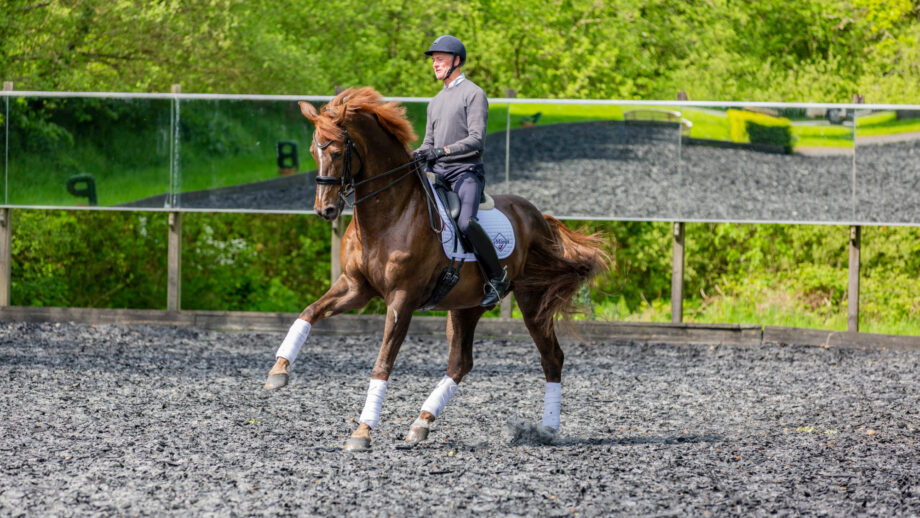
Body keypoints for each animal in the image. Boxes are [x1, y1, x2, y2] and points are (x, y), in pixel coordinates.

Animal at [263, 87, 609, 451]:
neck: (391, 214)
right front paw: (278, 371)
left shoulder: (401, 299)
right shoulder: (355, 287)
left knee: (551, 357)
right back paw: (421, 422)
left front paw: (362, 431)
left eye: (338, 149)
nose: (325, 209)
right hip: (466, 307)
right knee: (461, 363)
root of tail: (539, 217)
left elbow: (382, 363)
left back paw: (548, 429)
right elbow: (309, 312)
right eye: (313, 151)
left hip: (532, 300)